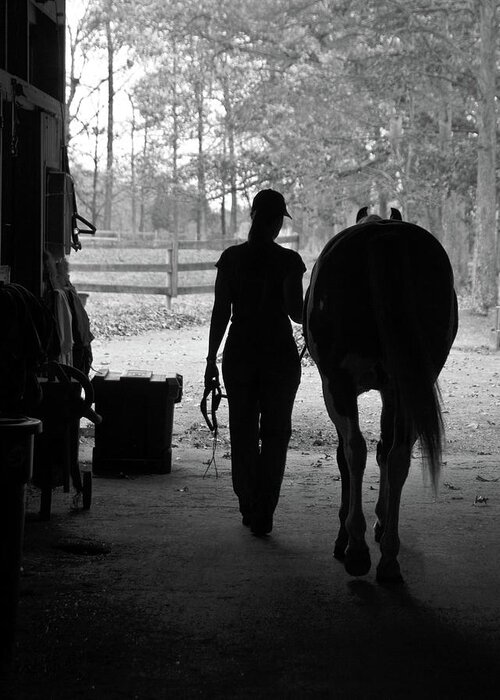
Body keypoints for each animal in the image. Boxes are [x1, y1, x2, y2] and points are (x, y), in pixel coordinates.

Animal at [302, 208, 458, 584]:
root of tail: (384, 235)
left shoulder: (336, 389)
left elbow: (347, 455)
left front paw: (346, 536)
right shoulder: (394, 391)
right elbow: (386, 451)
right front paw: (382, 521)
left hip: (339, 386)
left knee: (356, 451)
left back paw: (357, 550)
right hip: (410, 384)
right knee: (398, 454)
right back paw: (388, 559)